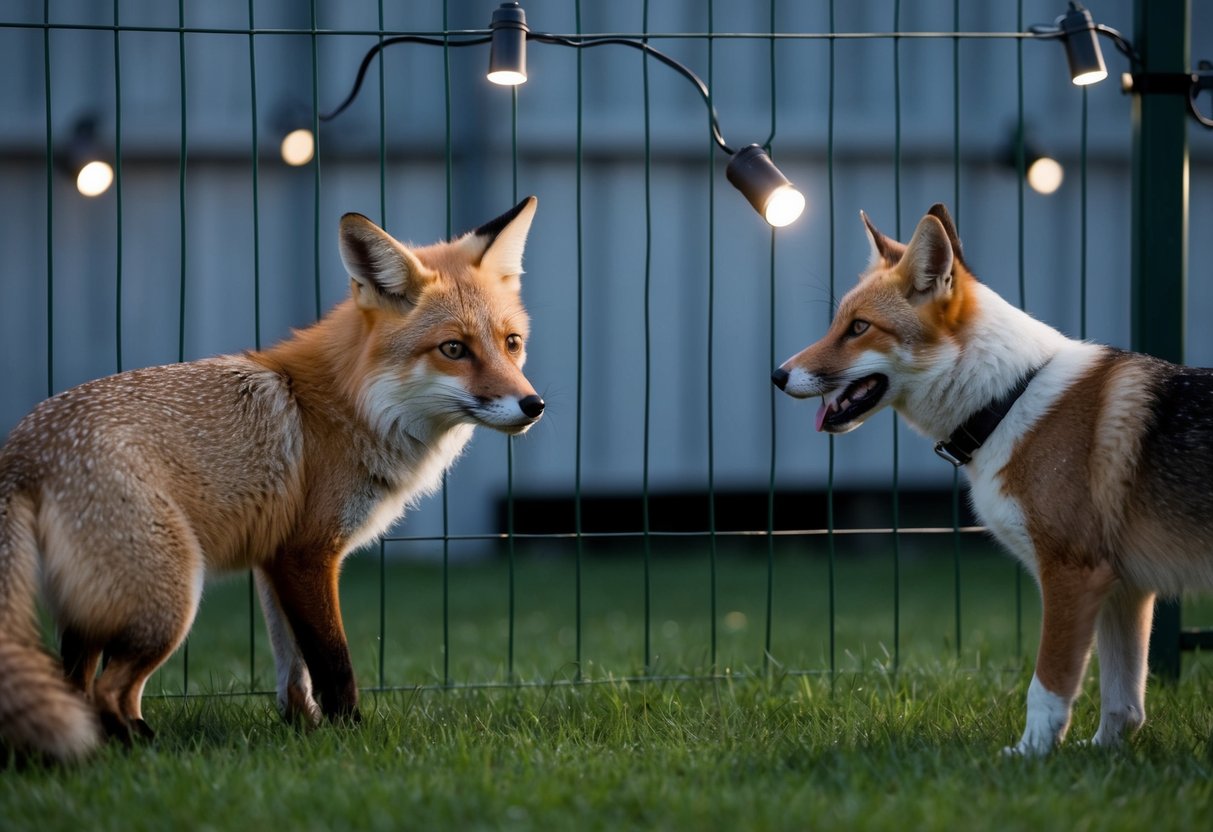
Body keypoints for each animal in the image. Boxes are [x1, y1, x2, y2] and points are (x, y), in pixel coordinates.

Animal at [0, 196, 545, 763]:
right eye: (454, 349)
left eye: (512, 343)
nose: (534, 405)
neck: (356, 406)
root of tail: (23, 447)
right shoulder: (309, 553)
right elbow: (333, 663)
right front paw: (352, 736)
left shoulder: (273, 558)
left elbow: (293, 668)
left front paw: (303, 728)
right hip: (170, 600)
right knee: (109, 690)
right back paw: (135, 750)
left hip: (93, 608)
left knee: (79, 687)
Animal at [772, 204, 1213, 755]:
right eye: (837, 324)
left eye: (858, 328)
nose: (778, 375)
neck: (1008, 400)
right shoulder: (1124, 588)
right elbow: (1124, 705)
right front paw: (1098, 757)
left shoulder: (1073, 573)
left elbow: (1047, 688)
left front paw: (1031, 756)